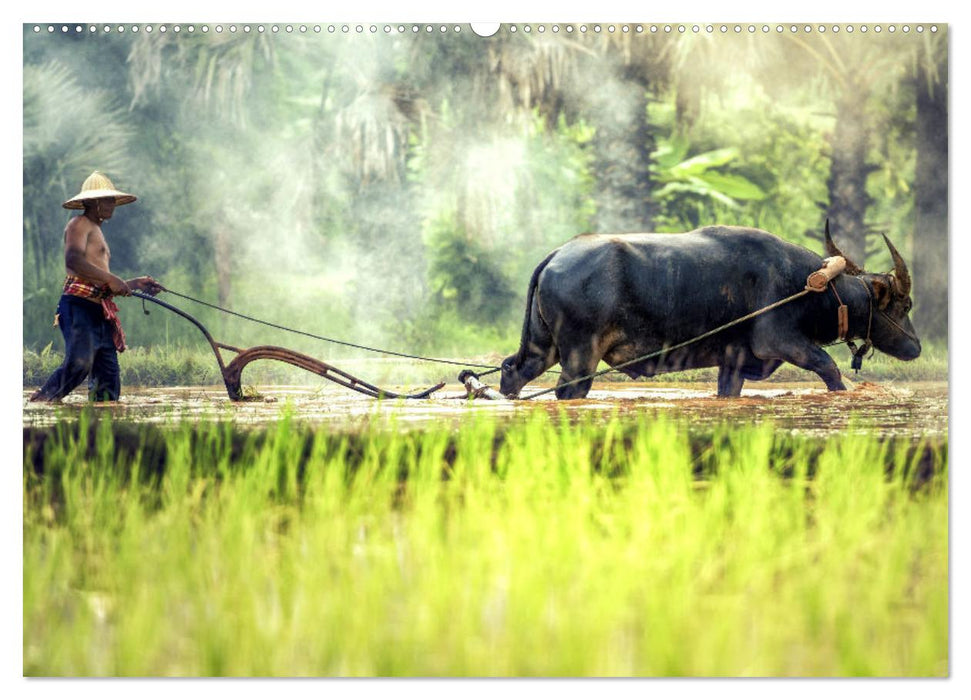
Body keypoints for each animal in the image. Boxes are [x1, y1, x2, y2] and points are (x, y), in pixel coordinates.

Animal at [504, 226, 924, 400]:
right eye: (904, 305)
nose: (916, 347)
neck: (810, 285)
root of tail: (557, 255)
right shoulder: (782, 341)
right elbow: (830, 369)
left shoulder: (734, 362)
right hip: (580, 356)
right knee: (567, 389)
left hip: (543, 347)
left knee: (514, 371)